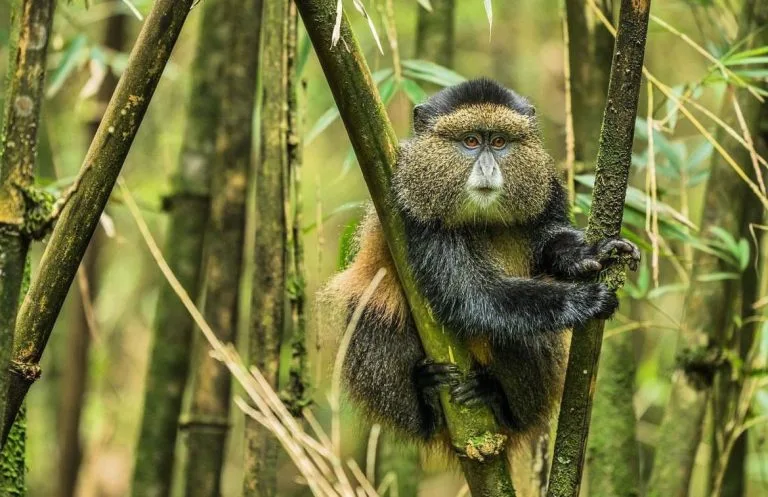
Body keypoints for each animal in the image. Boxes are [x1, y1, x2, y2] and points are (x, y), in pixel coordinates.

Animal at [325, 78, 639, 454]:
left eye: (500, 142)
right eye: (471, 141)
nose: (488, 168)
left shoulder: (547, 190)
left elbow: (549, 243)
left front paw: (591, 252)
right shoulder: (412, 215)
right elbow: (471, 296)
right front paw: (584, 300)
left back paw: (498, 401)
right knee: (373, 315)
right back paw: (428, 398)